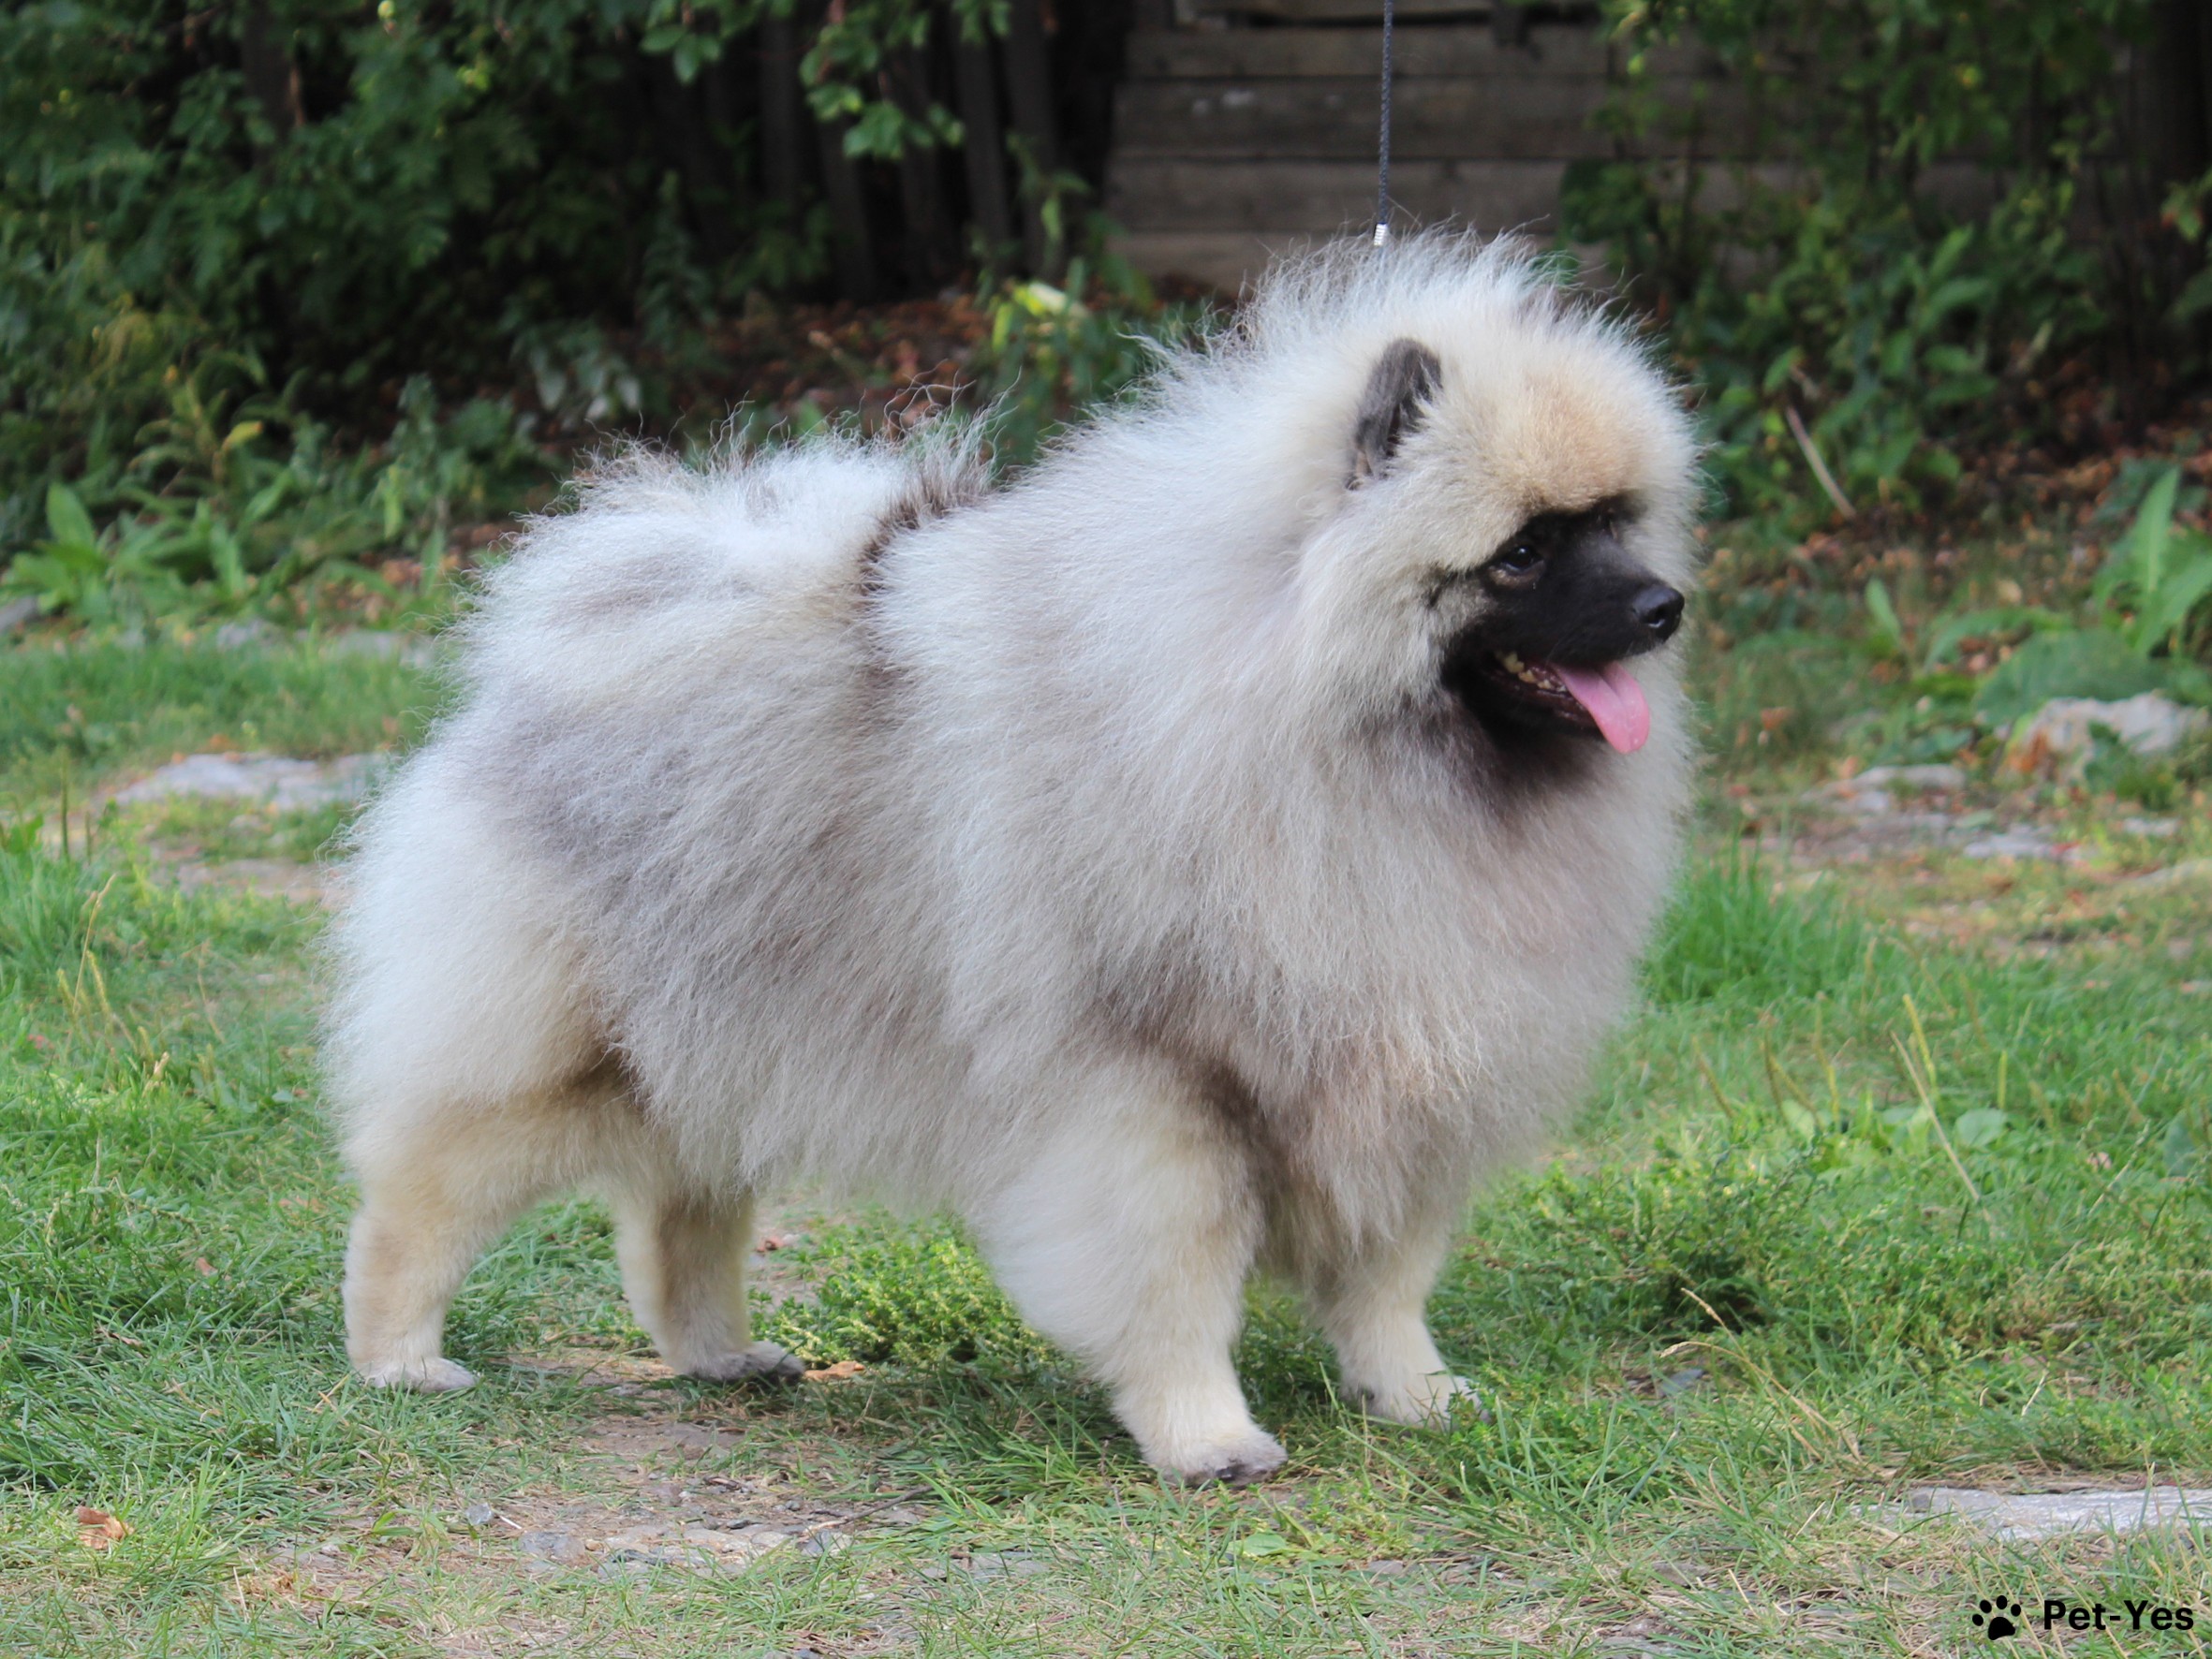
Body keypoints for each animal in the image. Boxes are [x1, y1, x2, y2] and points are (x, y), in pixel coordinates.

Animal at [327, 230, 1699, 1477]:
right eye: (1522, 549)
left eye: (1616, 523)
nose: (1660, 606)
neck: (1307, 718)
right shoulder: (1155, 1092)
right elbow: (1173, 1278)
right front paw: (1206, 1438)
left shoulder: (1390, 1074)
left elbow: (1384, 1278)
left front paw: (1411, 1393)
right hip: (558, 1056)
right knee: (419, 1196)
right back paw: (398, 1358)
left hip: (718, 1031)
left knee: (676, 1224)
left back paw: (723, 1355)